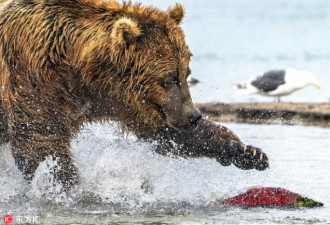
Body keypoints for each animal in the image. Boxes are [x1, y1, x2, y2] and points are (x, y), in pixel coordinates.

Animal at [0, 0, 268, 191]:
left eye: (186, 72)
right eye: (169, 78)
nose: (194, 116)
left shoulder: (123, 100)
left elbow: (161, 131)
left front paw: (248, 152)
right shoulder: (35, 74)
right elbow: (39, 138)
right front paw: (67, 184)